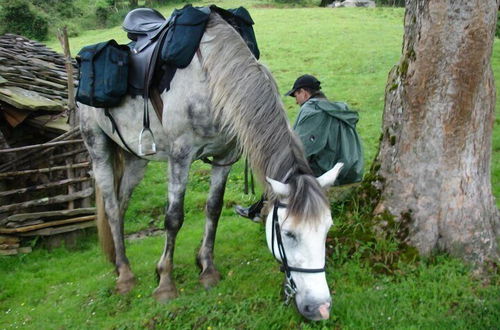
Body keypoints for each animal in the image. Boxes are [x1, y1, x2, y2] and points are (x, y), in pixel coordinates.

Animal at [80, 12, 342, 320]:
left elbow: (214, 209)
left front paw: (207, 269)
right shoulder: (179, 156)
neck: (211, 79)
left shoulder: (224, 157)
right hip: (97, 146)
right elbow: (173, 218)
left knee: (121, 205)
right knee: (111, 206)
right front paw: (165, 283)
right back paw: (125, 275)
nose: (320, 308)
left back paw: (117, 261)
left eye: (327, 229)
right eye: (289, 234)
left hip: (135, 157)